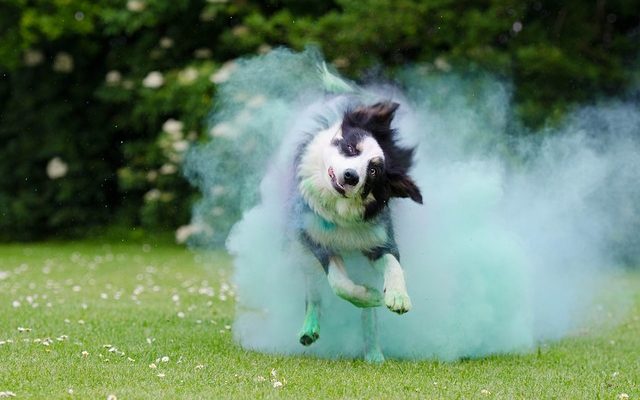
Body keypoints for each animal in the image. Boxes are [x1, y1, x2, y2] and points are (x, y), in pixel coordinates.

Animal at [292, 101, 422, 362]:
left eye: (373, 171)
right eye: (351, 147)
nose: (351, 176)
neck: (341, 212)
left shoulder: (379, 237)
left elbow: (393, 262)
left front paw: (398, 295)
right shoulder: (313, 238)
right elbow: (339, 283)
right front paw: (371, 295)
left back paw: (374, 353)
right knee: (313, 288)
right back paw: (309, 328)